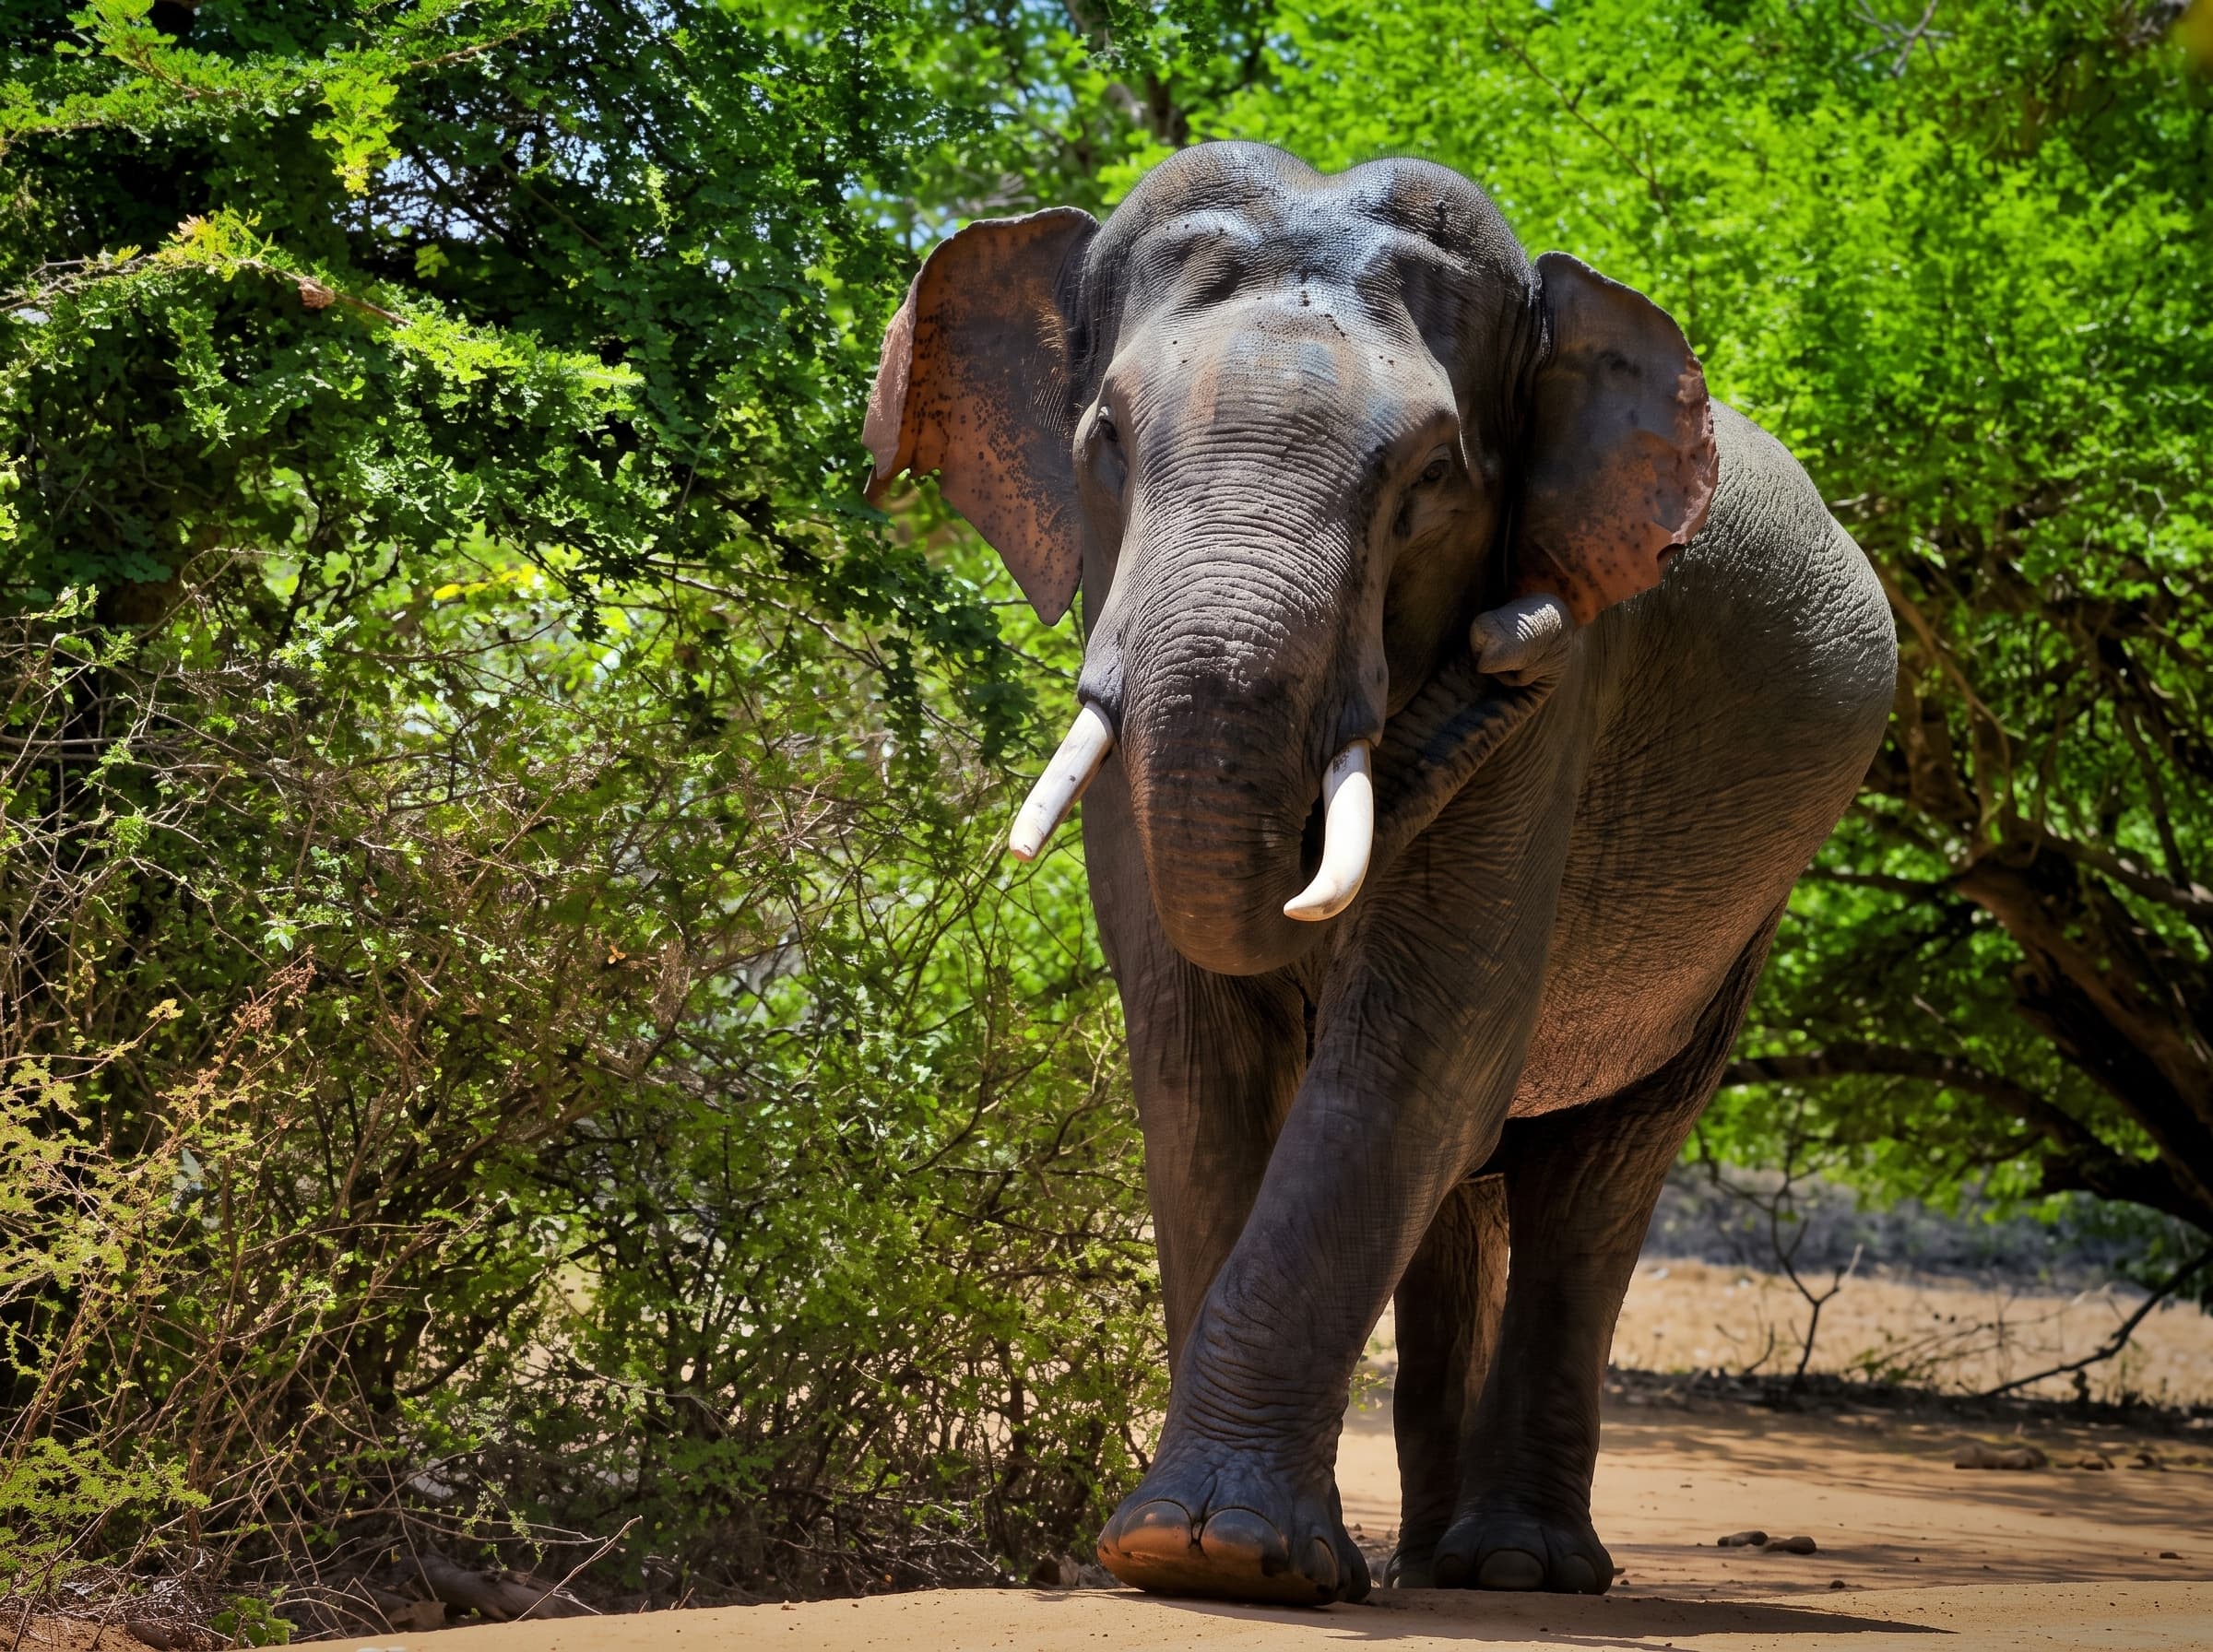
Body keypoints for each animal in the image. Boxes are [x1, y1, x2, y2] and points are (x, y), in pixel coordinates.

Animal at [862, 142, 1896, 1607]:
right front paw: (1193, 1556)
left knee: (1593, 1182)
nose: (1514, 637)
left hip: (1751, 913)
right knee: (1467, 1201)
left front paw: (1225, 1555)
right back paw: (1429, 1566)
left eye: (1434, 480)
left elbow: (1415, 1051)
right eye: (1104, 443)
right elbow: (1197, 1057)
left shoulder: (1560, 713)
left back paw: (1517, 1569)